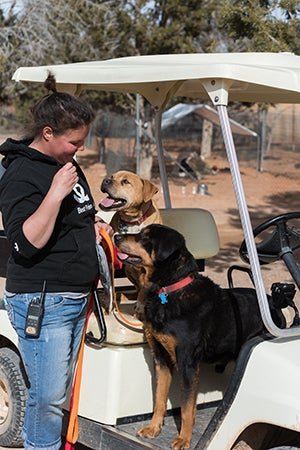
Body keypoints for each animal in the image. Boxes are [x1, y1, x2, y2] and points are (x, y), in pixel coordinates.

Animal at [113, 225, 288, 450]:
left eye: (146, 237)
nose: (116, 236)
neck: (169, 288)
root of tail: (274, 304)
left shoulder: (187, 362)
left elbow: (186, 407)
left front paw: (183, 439)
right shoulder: (161, 359)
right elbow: (160, 399)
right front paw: (153, 429)